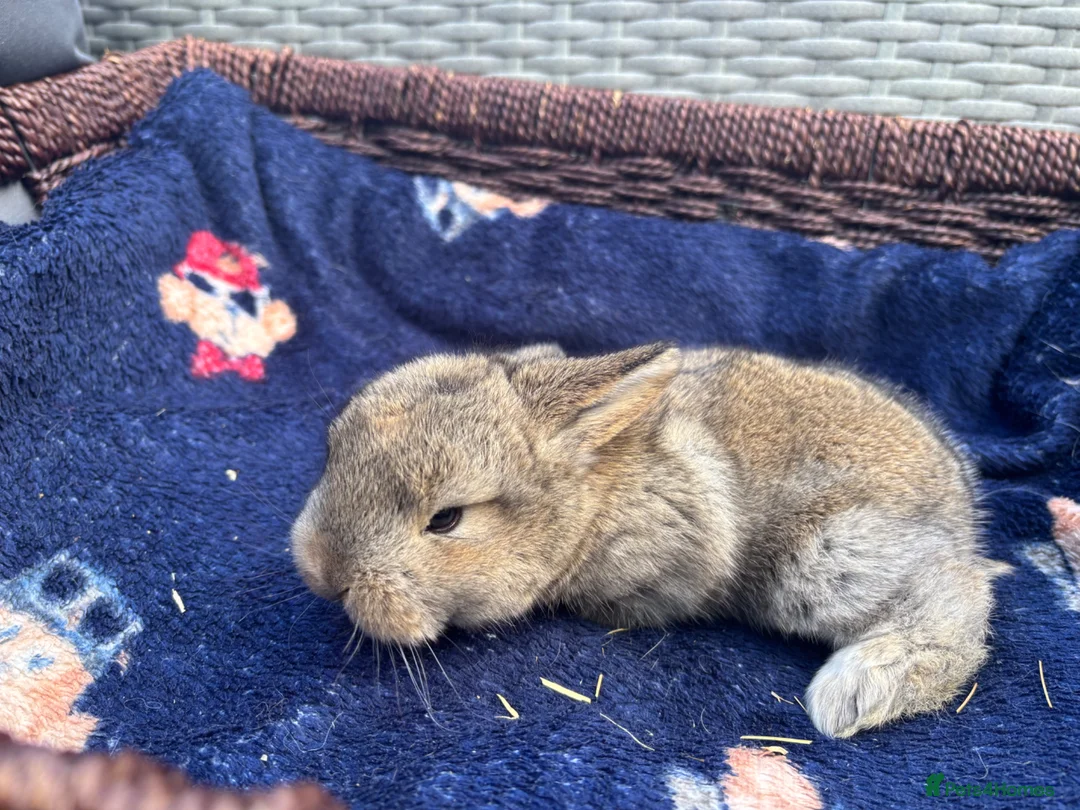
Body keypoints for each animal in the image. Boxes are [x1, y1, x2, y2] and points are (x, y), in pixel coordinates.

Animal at [291, 341, 1010, 738]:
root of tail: (962, 505)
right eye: (334, 451)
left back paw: (849, 694)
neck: (589, 503)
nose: (324, 570)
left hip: (827, 558)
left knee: (954, 598)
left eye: (446, 519)